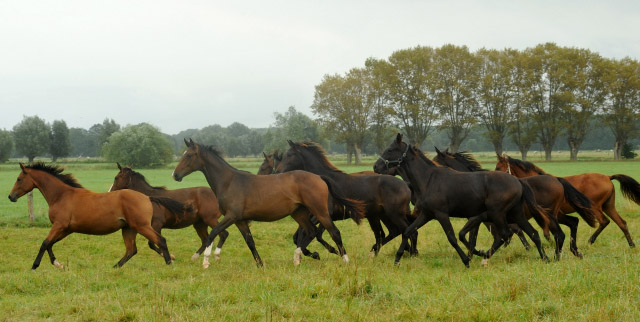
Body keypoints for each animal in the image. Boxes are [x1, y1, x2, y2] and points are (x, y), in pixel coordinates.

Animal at [8, 162, 178, 270]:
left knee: (160, 240)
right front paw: (59, 264)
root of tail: (147, 197)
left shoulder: (59, 225)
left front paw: (34, 266)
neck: (62, 195)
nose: (11, 197)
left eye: (19, 179)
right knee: (131, 250)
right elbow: (50, 243)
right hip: (129, 229)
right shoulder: (66, 229)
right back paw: (114, 267)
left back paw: (169, 264)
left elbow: (44, 243)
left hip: (141, 226)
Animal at [172, 138, 364, 266]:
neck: (229, 181)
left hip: (319, 211)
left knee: (333, 232)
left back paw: (344, 259)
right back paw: (298, 258)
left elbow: (213, 233)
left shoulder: (231, 216)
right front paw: (260, 264)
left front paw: (206, 261)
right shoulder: (240, 220)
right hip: (299, 213)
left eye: (189, 156)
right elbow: (249, 242)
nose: (175, 175)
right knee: (310, 232)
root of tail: (319, 177)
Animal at [274, 141, 416, 260]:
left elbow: (316, 234)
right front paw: (314, 253)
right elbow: (299, 236)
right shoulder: (313, 216)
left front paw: (332, 252)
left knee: (407, 230)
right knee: (391, 232)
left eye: (289, 155)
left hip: (392, 214)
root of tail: (405, 184)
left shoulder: (323, 215)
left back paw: (408, 254)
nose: (277, 171)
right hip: (381, 215)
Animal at [432, 149, 596, 260]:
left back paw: (557, 256)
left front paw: (475, 255)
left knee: (559, 233)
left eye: (435, 160)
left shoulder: (477, 218)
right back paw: (575, 252)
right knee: (573, 222)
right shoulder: (483, 220)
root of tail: (557, 180)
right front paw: (473, 255)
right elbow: (473, 237)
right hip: (555, 214)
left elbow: (470, 236)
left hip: (549, 215)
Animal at [496, 155, 640, 248]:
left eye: (498, 167)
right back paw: (631, 244)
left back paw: (590, 241)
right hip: (608, 206)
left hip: (595, 207)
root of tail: (608, 177)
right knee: (622, 223)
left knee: (604, 221)